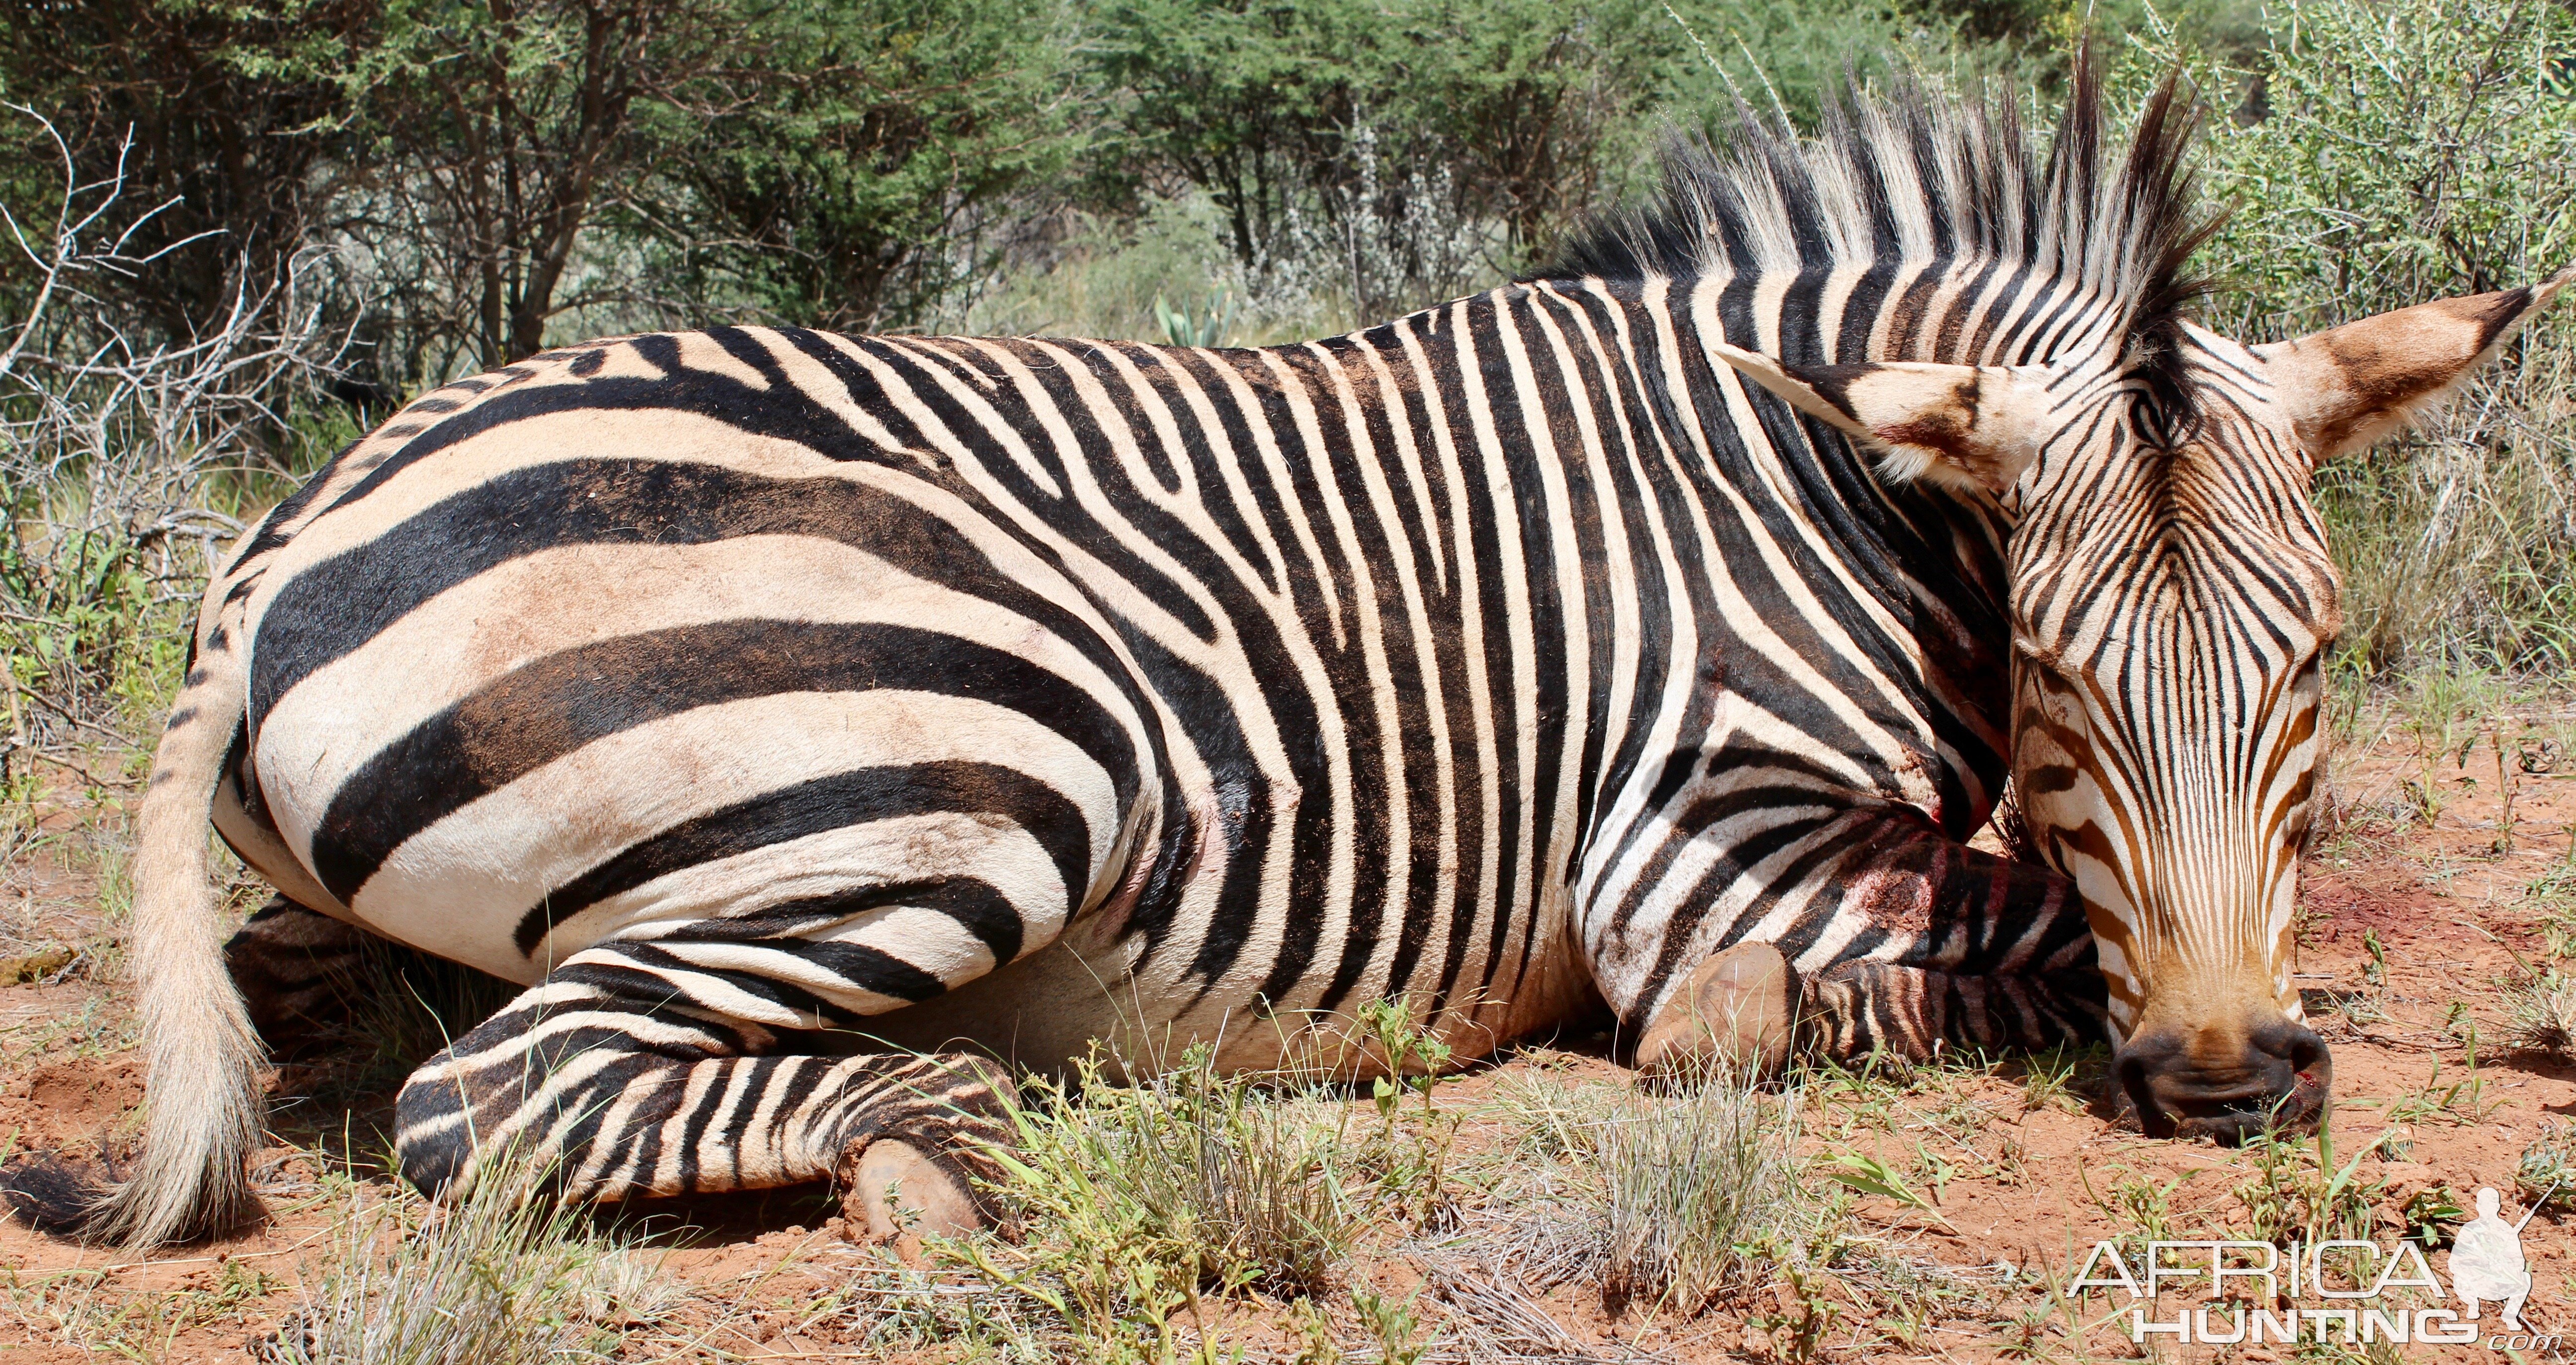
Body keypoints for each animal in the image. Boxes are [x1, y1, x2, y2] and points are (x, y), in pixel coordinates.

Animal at [35, 56, 2555, 1241]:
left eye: (2319, 659)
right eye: (2051, 674)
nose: (2227, 1071)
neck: (1824, 476)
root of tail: (283, 530)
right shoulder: (1691, 860)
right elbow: (1914, 955)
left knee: (333, 1012)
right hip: (988, 755)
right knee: (499, 1095)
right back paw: (945, 1121)